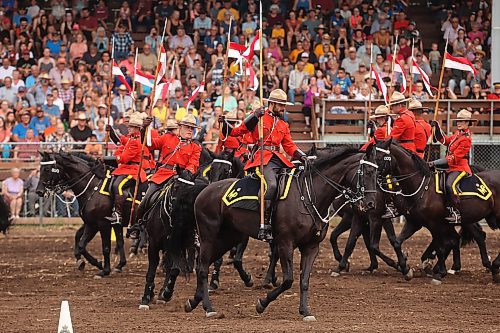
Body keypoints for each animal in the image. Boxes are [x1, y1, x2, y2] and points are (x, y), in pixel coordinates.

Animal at [186, 147, 376, 320]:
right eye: (366, 172)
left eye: (376, 172)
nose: (371, 203)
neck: (308, 196)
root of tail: (205, 190)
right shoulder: (285, 243)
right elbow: (288, 280)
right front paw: (262, 303)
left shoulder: (311, 246)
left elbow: (304, 280)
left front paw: (305, 311)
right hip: (209, 237)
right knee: (202, 267)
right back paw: (208, 307)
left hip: (228, 238)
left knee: (203, 264)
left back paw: (194, 301)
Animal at [364, 137, 500, 282]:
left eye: (379, 157)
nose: (370, 173)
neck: (420, 186)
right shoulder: (414, 222)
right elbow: (396, 242)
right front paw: (406, 268)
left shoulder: (435, 223)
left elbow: (441, 246)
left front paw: (439, 272)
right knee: (469, 236)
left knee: (473, 236)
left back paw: (491, 265)